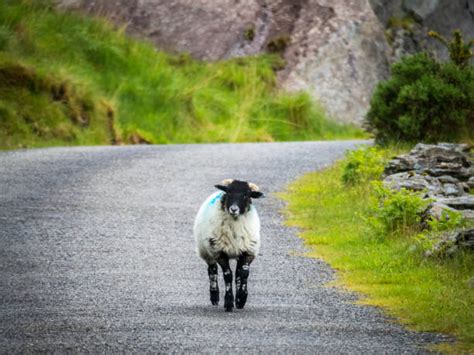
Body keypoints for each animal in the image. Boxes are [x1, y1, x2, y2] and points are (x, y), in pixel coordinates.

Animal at [194, 179, 264, 312]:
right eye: (229, 192)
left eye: (246, 195)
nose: (234, 209)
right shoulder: (219, 252)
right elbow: (228, 275)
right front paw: (229, 302)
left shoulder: (248, 251)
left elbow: (243, 273)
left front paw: (241, 299)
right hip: (207, 249)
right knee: (212, 271)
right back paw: (214, 297)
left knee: (237, 273)